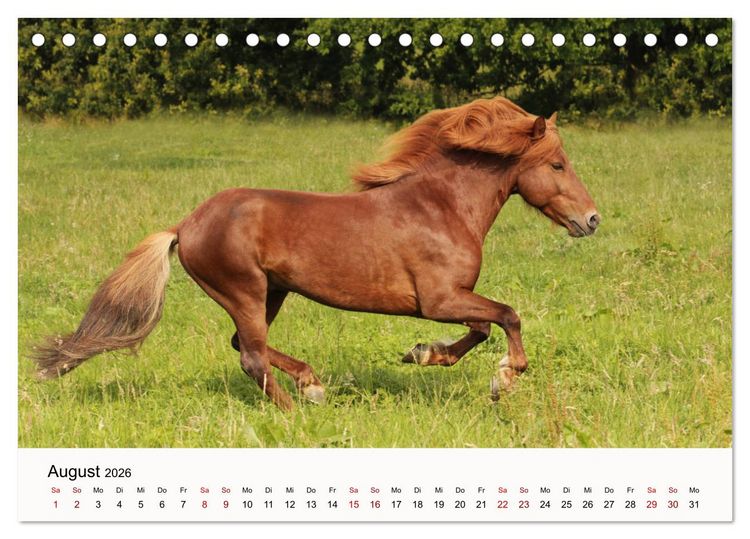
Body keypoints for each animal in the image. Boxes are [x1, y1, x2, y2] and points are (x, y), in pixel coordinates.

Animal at [34, 96, 600, 410]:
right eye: (556, 164)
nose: (592, 219)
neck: (441, 207)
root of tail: (185, 224)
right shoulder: (439, 299)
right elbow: (507, 316)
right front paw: (504, 379)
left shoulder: (449, 300)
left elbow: (482, 328)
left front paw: (422, 353)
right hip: (244, 290)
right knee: (251, 355)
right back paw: (302, 409)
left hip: (272, 292)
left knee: (244, 345)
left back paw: (311, 384)